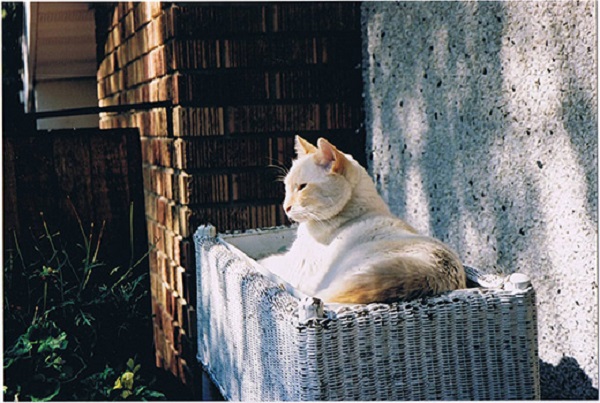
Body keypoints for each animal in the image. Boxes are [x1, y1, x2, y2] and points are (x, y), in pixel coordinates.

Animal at [260, 136, 466, 304]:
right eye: (286, 187)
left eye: (302, 187)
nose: (285, 207)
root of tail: (432, 273)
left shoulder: (291, 266)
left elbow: (265, 261)